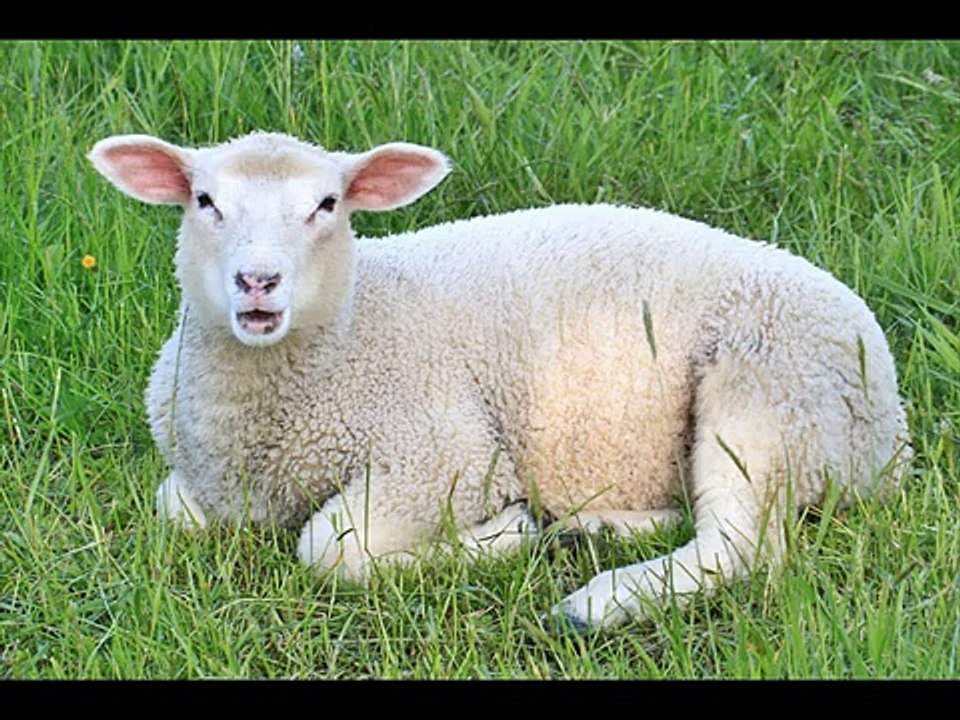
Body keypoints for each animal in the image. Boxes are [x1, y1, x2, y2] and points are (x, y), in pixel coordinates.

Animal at [88, 131, 911, 630]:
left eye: (327, 205)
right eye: (204, 201)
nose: (259, 282)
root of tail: (892, 435)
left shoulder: (443, 456)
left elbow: (332, 550)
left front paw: (503, 534)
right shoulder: (197, 479)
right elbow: (177, 511)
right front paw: (532, 528)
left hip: (767, 390)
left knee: (742, 547)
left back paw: (594, 601)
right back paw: (593, 527)